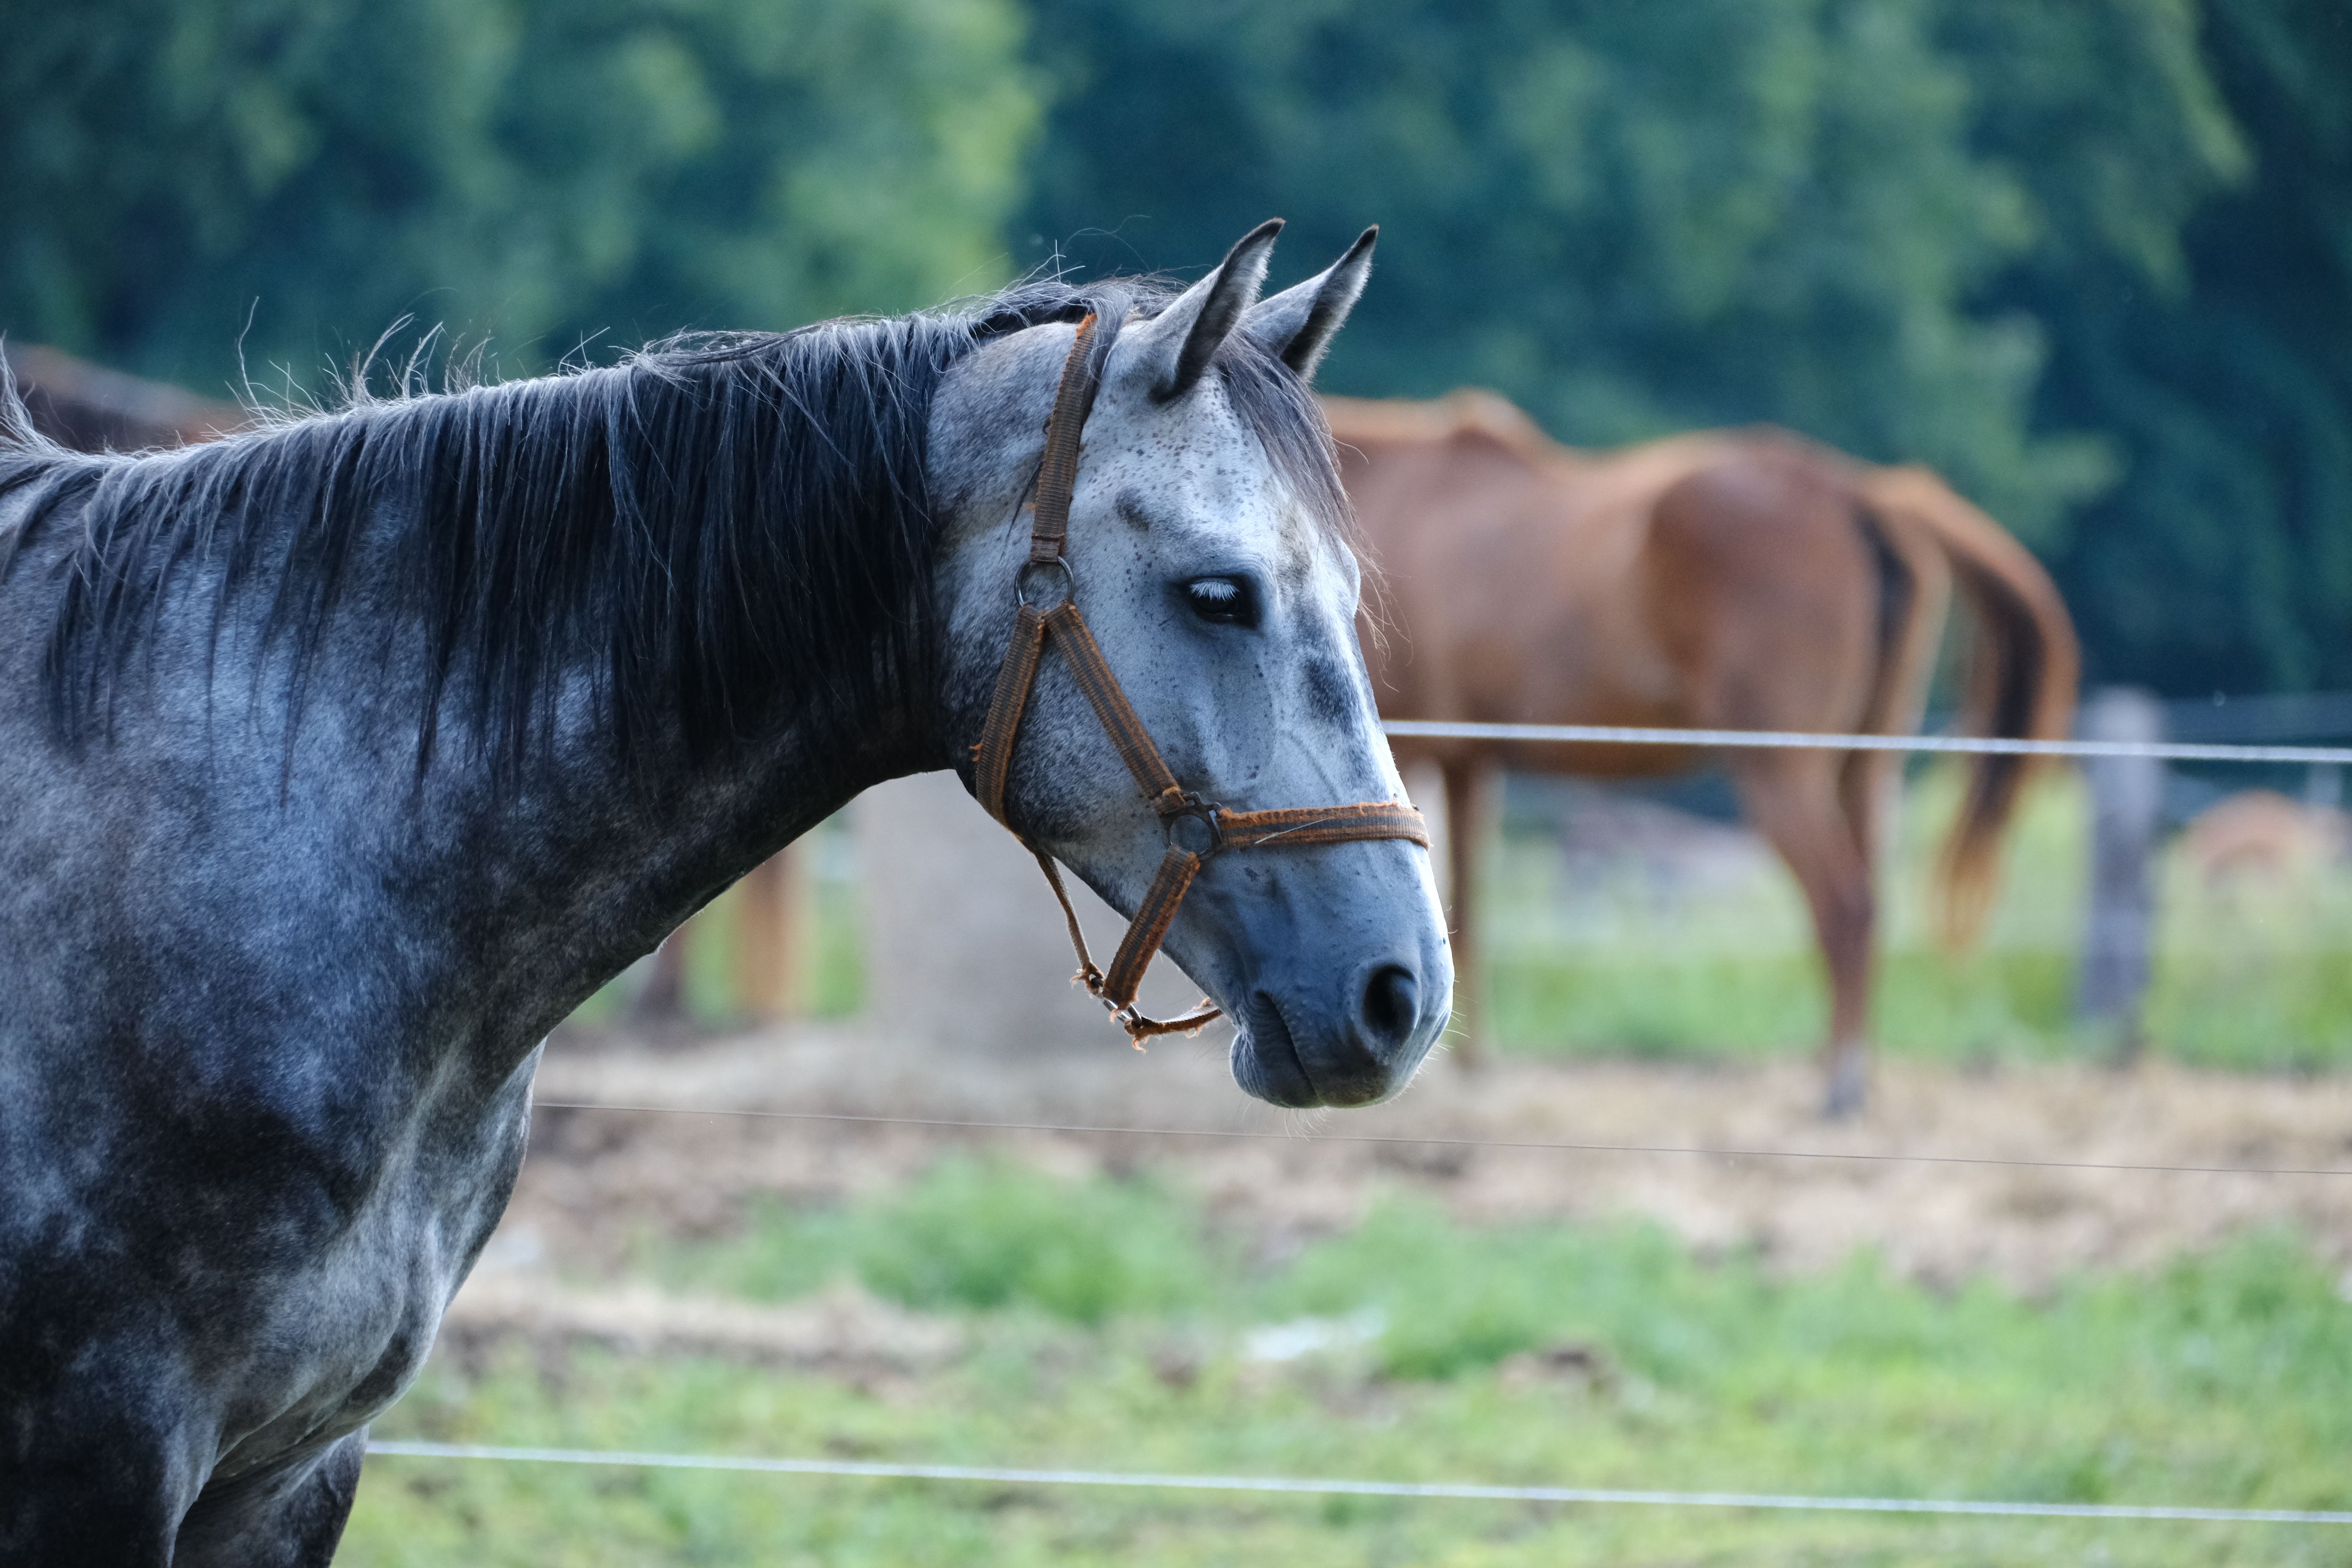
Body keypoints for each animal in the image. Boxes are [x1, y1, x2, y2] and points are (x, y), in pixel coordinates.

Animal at [1330, 390, 2077, 1115]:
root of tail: (1861, 494)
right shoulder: (1468, 760)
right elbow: (1468, 907)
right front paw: (1474, 1063)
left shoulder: (1418, 751)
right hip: (1864, 768)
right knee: (1869, 907)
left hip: (1783, 774)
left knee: (1845, 909)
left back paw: (1840, 1083)